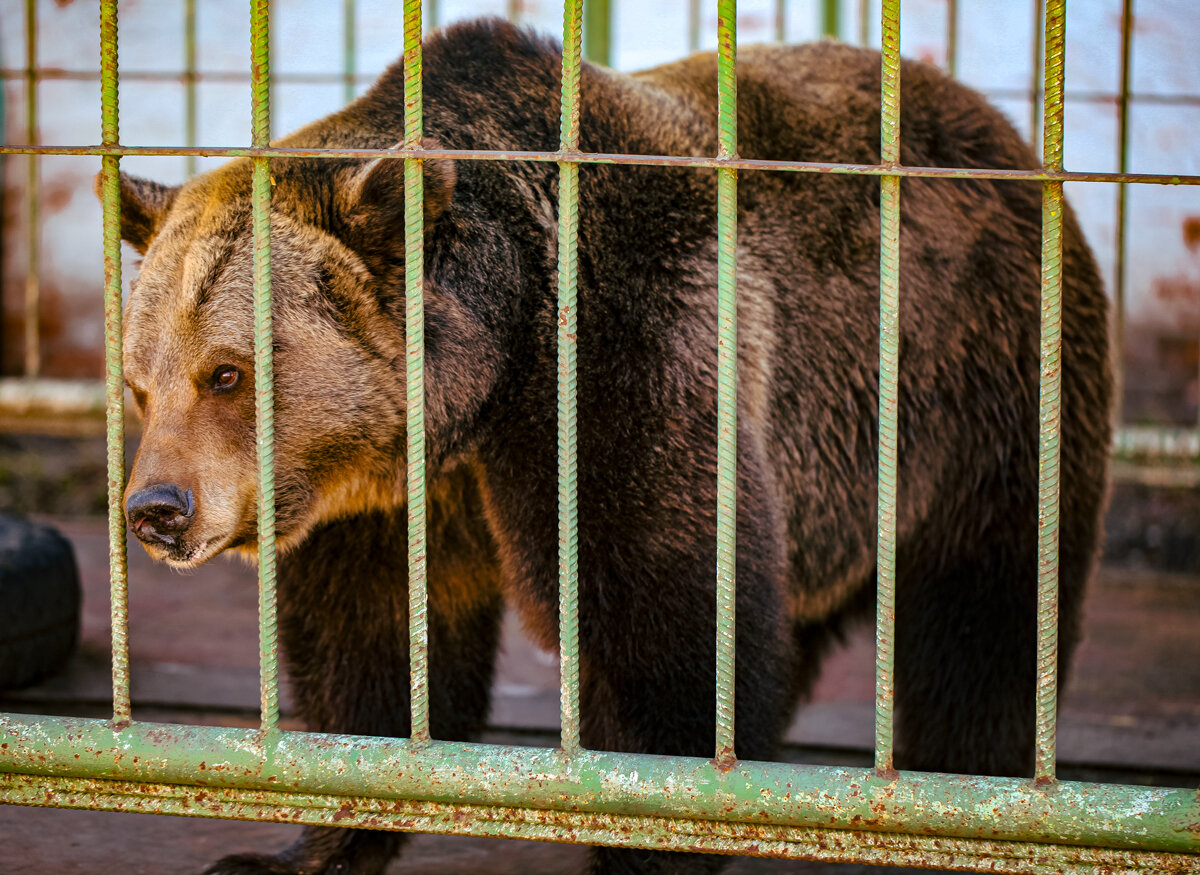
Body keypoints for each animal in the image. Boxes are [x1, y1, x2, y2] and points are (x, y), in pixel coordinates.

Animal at [108, 18, 1108, 873]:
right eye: (140, 382)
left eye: (227, 372)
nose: (156, 509)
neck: (481, 380)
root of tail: (1007, 132)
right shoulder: (378, 493)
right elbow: (372, 646)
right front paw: (294, 846)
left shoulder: (628, 358)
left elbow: (664, 626)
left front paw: (650, 839)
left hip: (979, 385)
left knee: (982, 625)